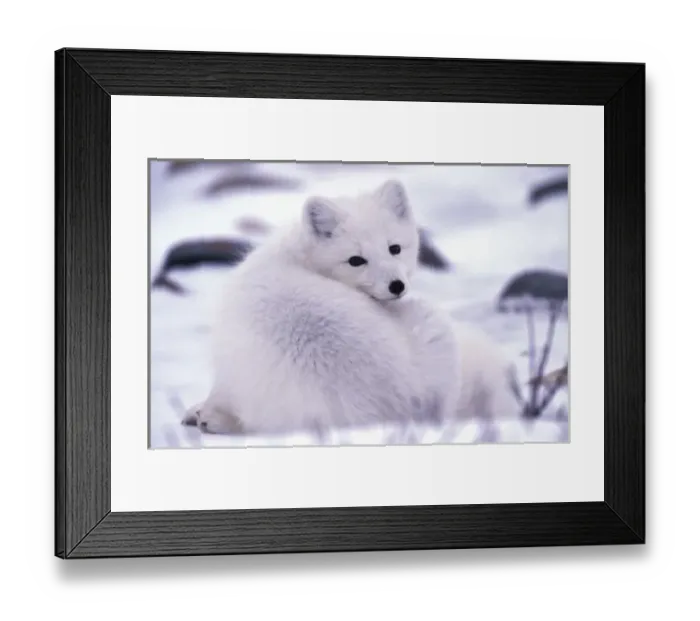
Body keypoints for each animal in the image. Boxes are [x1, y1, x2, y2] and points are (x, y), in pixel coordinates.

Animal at [184, 179, 519, 435]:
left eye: (394, 248)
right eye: (356, 260)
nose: (397, 286)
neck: (295, 256)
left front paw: (204, 412)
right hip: (439, 328)